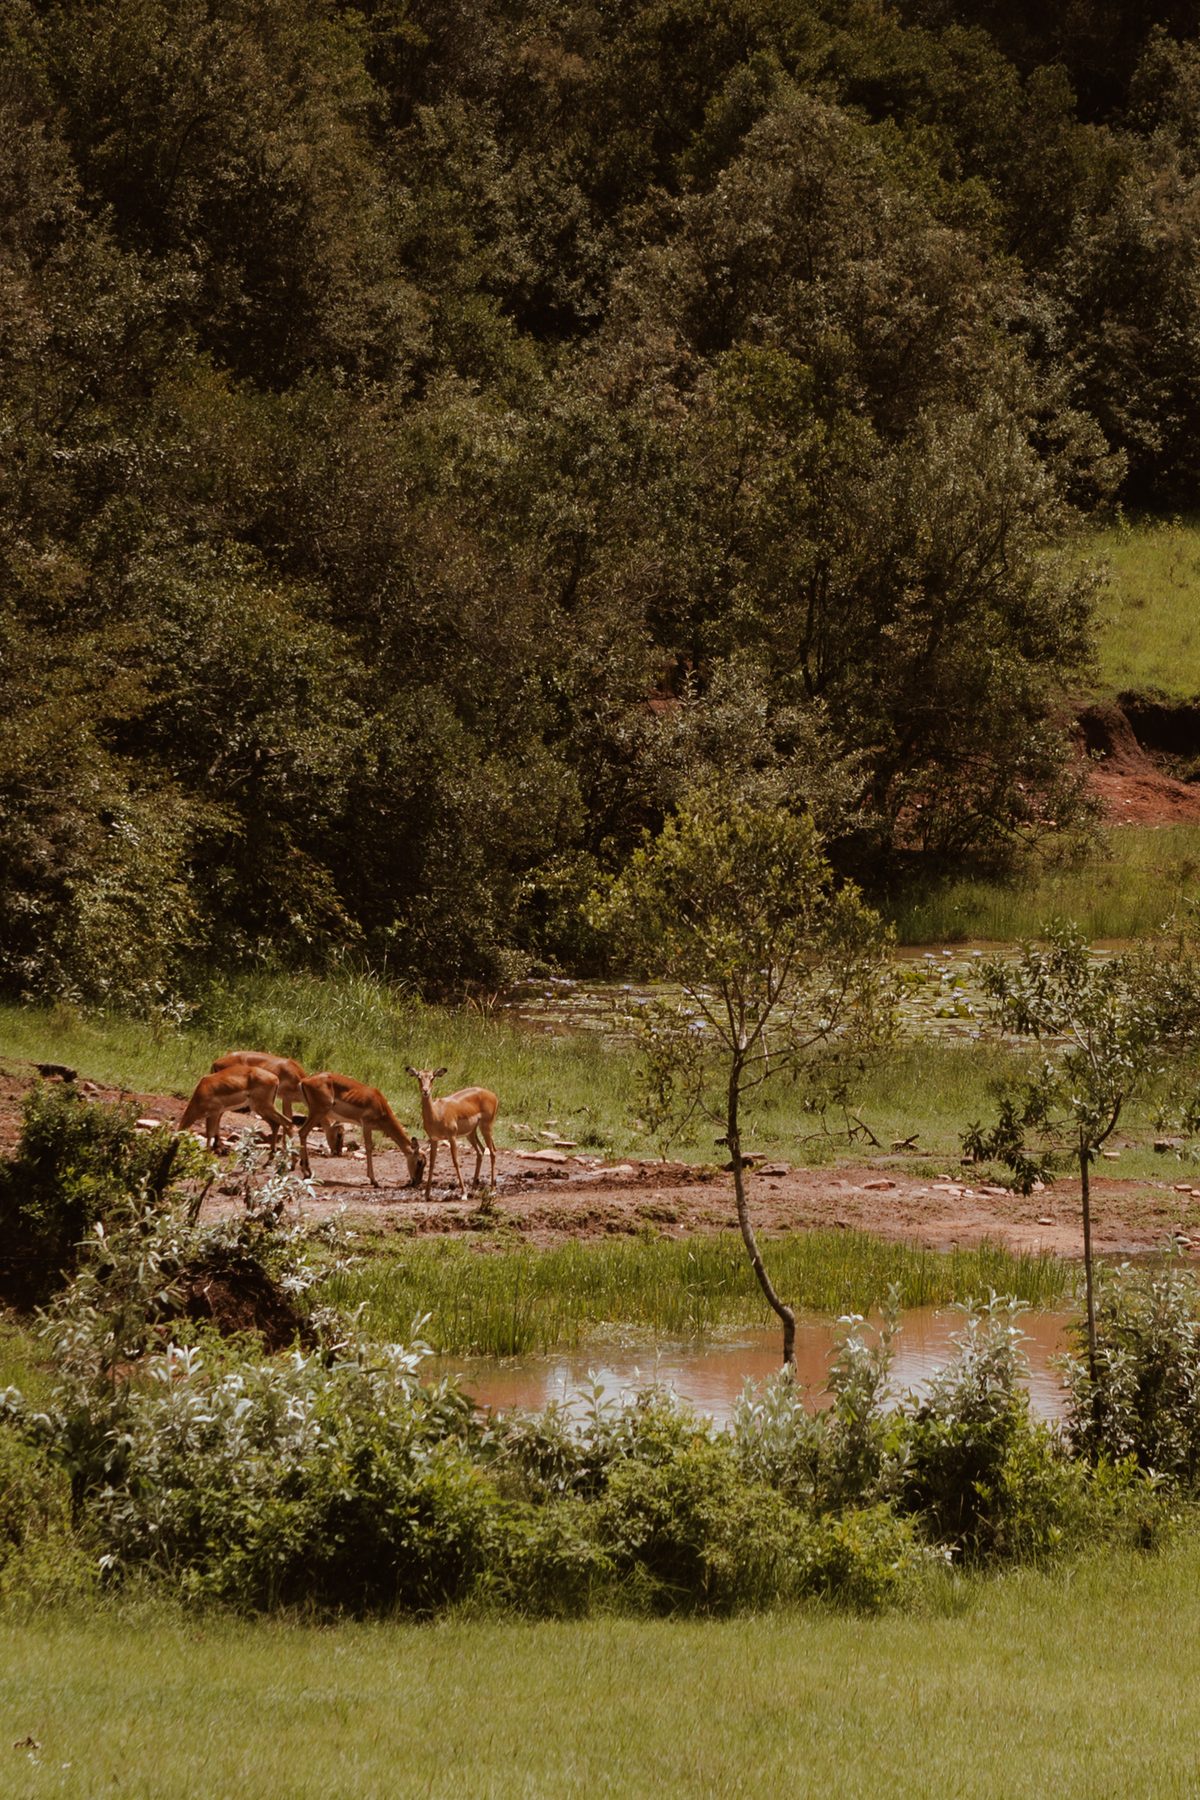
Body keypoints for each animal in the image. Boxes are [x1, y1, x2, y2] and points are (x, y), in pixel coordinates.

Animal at [210, 1052, 344, 1155]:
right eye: (339, 1134)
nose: (337, 1152)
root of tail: (216, 1062)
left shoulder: (287, 1100)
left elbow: (287, 1119)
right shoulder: (286, 1098)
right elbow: (288, 1120)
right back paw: (219, 1147)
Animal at [406, 1067, 499, 1199]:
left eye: (432, 1078)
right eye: (419, 1077)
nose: (425, 1091)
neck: (437, 1114)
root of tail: (493, 1095)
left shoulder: (452, 1137)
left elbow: (456, 1161)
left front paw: (463, 1193)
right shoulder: (434, 1139)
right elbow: (432, 1163)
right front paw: (427, 1194)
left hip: (486, 1127)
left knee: (493, 1152)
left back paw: (492, 1190)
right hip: (471, 1133)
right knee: (480, 1151)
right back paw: (474, 1188)